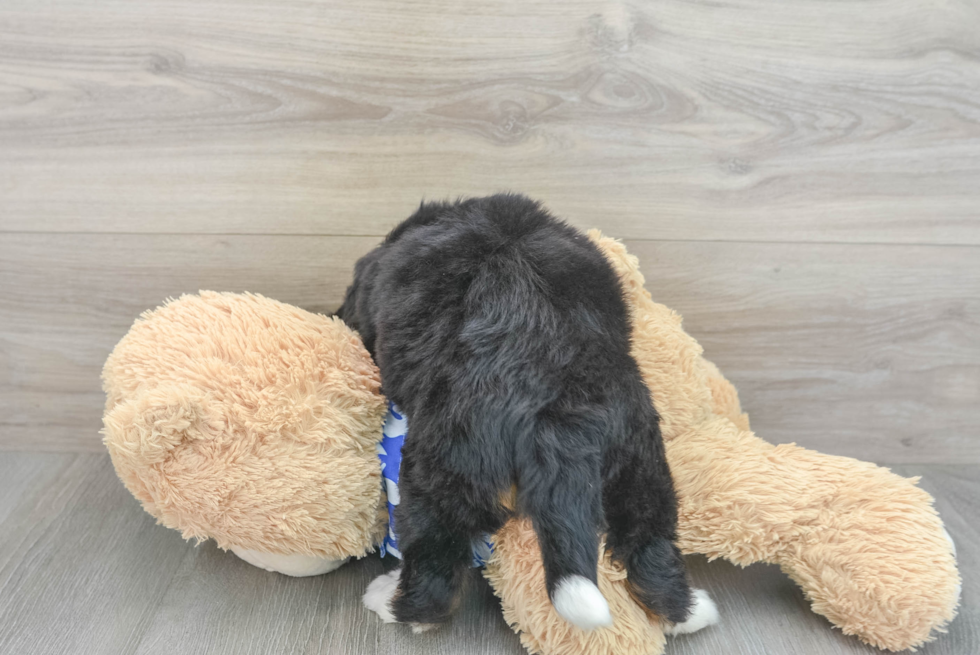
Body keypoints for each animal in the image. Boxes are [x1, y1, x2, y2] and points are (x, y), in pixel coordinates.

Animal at [338, 196, 720, 636]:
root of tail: (555, 397)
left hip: (444, 464)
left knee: (435, 564)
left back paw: (392, 603)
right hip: (639, 458)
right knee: (652, 547)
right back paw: (688, 614)